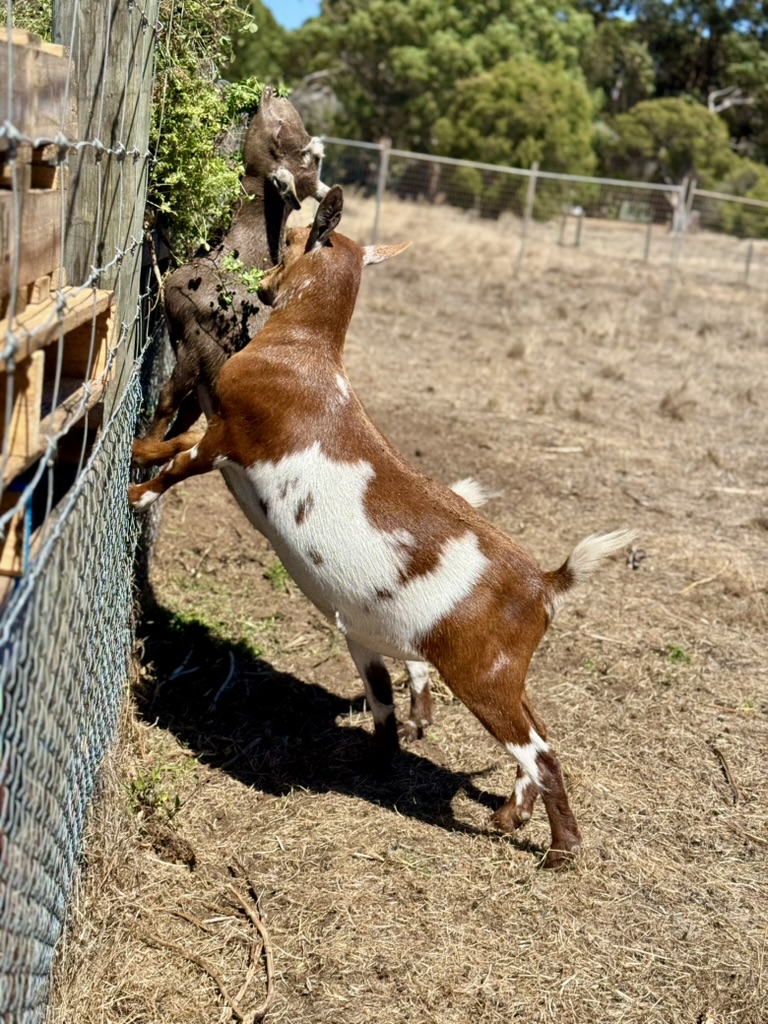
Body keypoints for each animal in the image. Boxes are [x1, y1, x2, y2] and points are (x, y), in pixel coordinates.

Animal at [129, 186, 635, 868]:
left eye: (293, 237)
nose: (260, 272)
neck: (301, 354)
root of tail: (549, 583)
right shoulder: (222, 436)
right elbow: (173, 444)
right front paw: (135, 450)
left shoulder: (231, 436)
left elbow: (179, 466)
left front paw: (133, 491)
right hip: (508, 674)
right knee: (534, 739)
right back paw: (506, 817)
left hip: (481, 676)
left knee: (542, 754)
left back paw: (559, 852)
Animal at [132, 87, 330, 466]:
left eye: (278, 134)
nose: (270, 92)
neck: (239, 256)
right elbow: (180, 417)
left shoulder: (195, 345)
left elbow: (166, 403)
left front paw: (140, 452)